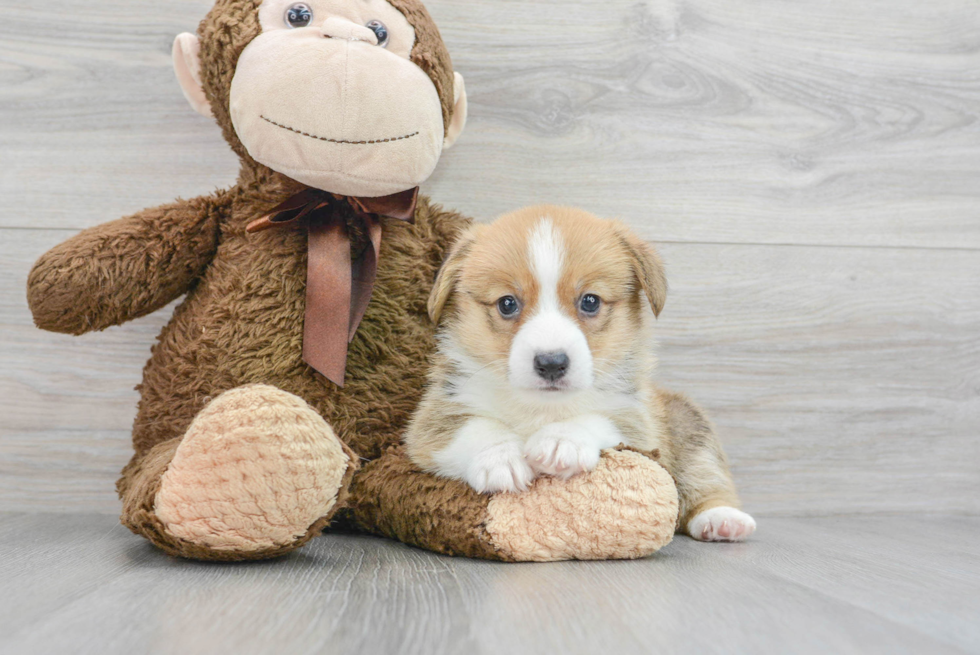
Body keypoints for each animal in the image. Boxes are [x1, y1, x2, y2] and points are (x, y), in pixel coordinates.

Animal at [406, 206, 756, 544]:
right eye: (507, 304)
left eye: (590, 301)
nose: (551, 363)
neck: (541, 407)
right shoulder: (432, 420)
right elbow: (474, 427)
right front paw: (499, 459)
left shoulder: (635, 423)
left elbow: (595, 419)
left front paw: (562, 441)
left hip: (690, 426)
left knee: (705, 478)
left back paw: (721, 519)